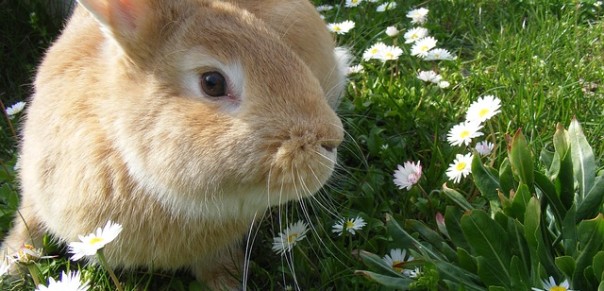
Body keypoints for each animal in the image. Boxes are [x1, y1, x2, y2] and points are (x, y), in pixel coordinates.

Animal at [1, 0, 350, 290]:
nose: (333, 139)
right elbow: (28, 225)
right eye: (212, 82)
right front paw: (11, 266)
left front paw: (229, 282)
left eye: (281, 47)